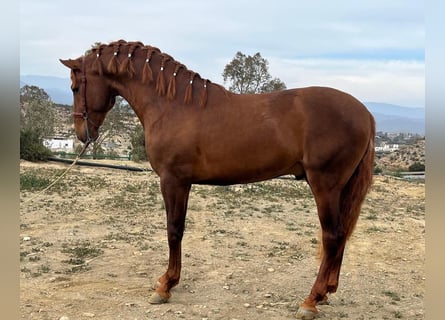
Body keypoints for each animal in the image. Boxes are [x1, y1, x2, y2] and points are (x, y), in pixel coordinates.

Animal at [60, 39, 374, 318]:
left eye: (75, 87)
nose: (82, 134)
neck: (171, 105)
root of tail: (365, 114)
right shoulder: (182, 183)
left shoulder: (173, 180)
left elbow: (174, 230)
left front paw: (165, 286)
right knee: (341, 235)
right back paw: (327, 292)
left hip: (325, 185)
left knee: (332, 237)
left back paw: (310, 300)